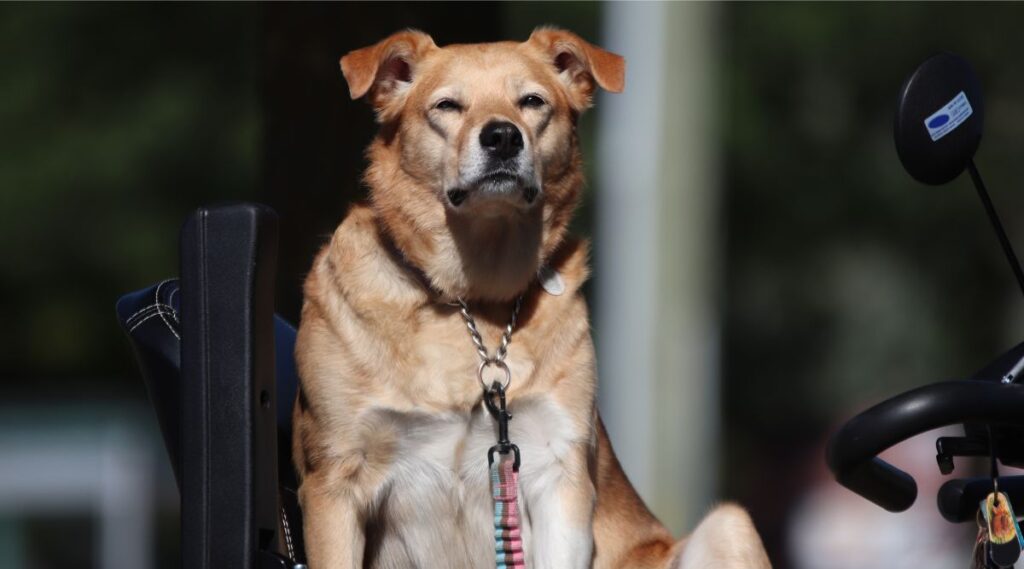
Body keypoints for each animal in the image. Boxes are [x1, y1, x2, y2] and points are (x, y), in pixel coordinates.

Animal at [292, 27, 770, 569]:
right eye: (447, 105)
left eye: (532, 101)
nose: (502, 136)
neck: (475, 295)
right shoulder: (335, 479)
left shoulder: (558, 472)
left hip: (729, 525)